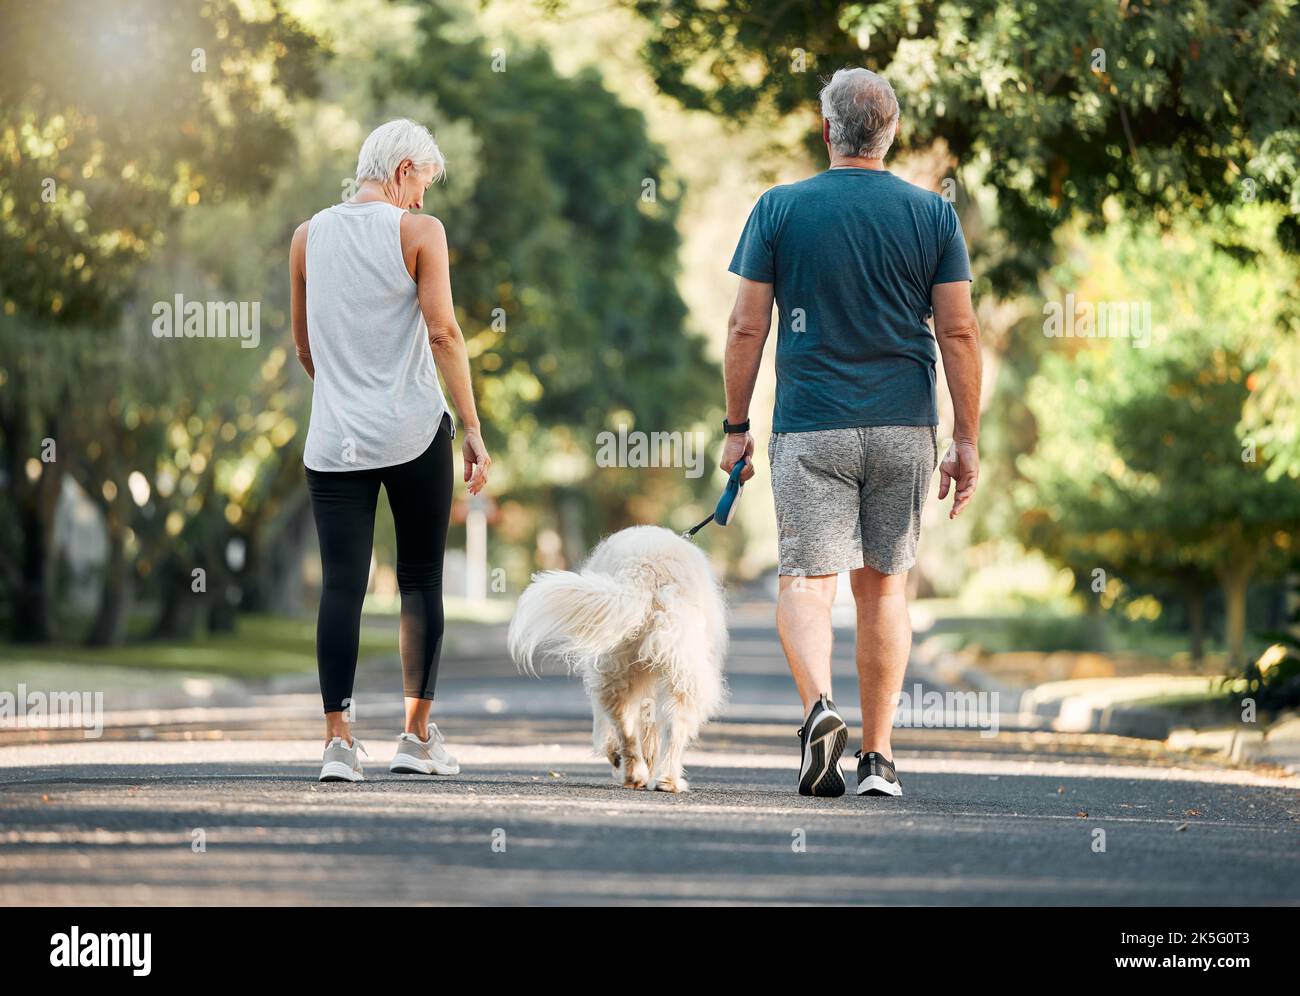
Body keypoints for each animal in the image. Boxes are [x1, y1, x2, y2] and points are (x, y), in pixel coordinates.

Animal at [509, 522, 733, 795]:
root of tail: (645, 571)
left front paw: (623, 757)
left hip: (626, 668)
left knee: (630, 725)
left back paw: (642, 774)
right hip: (667, 670)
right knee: (667, 726)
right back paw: (658, 777)